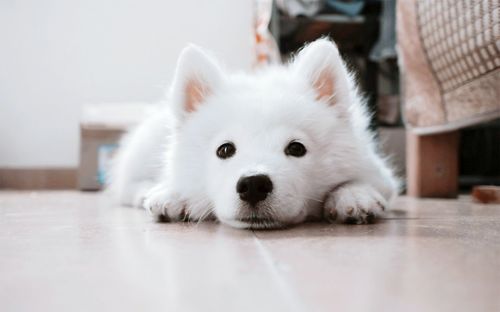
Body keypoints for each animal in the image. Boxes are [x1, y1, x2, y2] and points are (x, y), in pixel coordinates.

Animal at [109, 39, 398, 229]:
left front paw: (354, 195)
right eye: (225, 149)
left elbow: (361, 182)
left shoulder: (379, 173)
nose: (253, 185)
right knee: (126, 185)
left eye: (296, 148)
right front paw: (174, 194)